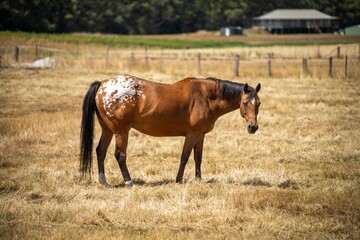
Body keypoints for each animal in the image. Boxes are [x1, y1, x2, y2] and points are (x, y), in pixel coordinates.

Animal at [79, 74, 262, 187]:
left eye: (259, 103)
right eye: (245, 103)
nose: (253, 127)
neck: (205, 97)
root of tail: (102, 85)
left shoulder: (201, 136)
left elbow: (198, 158)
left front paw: (198, 179)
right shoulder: (192, 135)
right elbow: (185, 157)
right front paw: (179, 179)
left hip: (107, 129)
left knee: (100, 151)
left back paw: (104, 181)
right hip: (121, 131)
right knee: (120, 155)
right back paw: (128, 181)